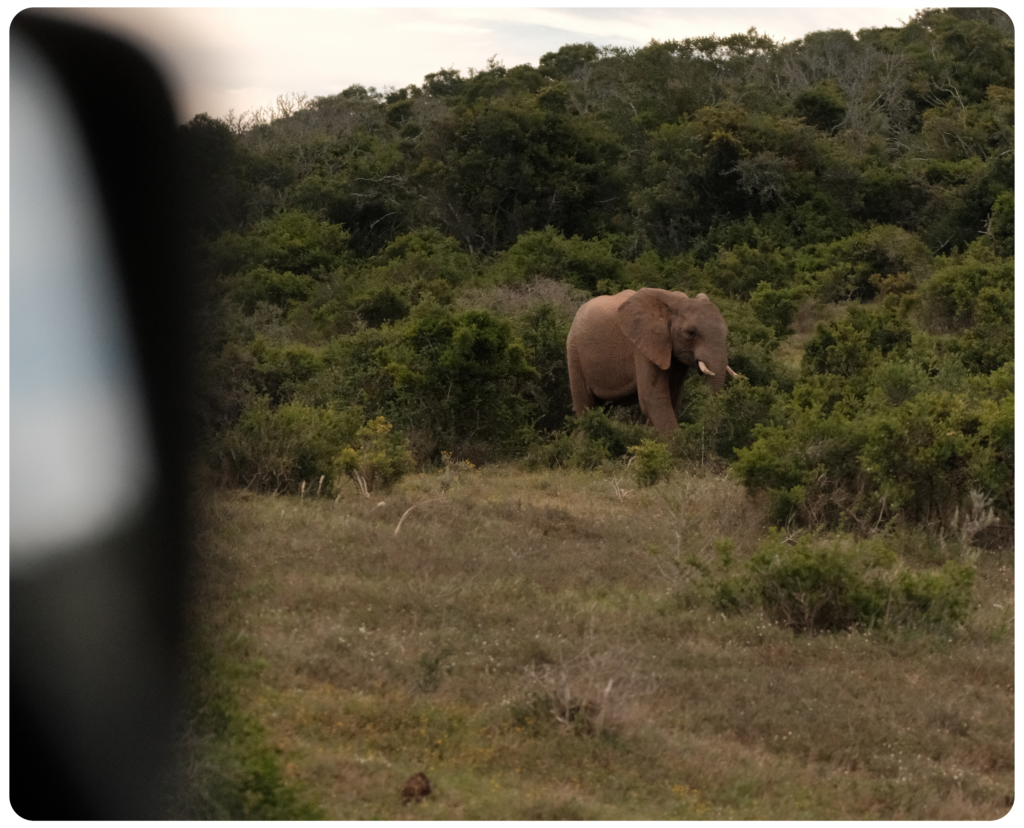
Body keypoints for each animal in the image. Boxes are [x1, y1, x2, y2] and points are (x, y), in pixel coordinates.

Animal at [566, 288, 737, 434]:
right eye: (691, 333)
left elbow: (672, 398)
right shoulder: (643, 346)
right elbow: (653, 398)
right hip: (574, 351)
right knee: (586, 408)